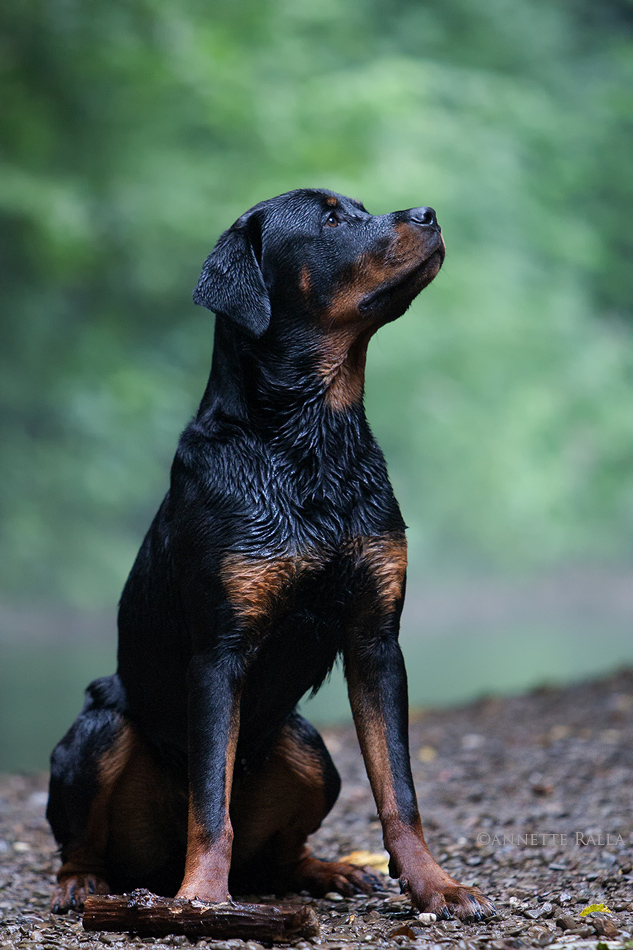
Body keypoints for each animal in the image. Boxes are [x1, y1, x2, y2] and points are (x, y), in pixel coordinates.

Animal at [47, 188, 496, 924]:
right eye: (331, 218)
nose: (428, 213)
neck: (312, 442)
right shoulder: (219, 651)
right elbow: (210, 802)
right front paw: (201, 899)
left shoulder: (376, 639)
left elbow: (400, 792)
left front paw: (436, 885)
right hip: (99, 732)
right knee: (86, 837)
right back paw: (84, 883)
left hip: (306, 746)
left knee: (281, 854)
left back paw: (328, 871)